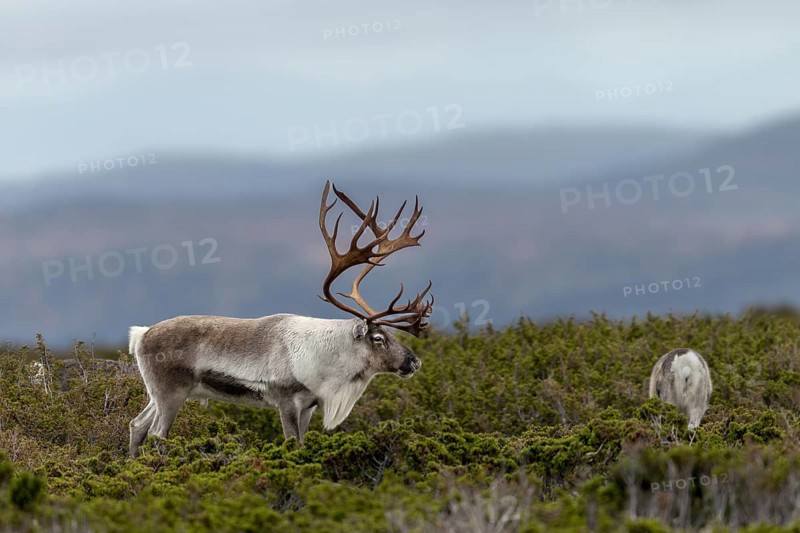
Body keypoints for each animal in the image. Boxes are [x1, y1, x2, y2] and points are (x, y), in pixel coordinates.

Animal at [127, 181, 433, 456]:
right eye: (379, 338)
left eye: (394, 335)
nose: (414, 362)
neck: (326, 359)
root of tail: (140, 335)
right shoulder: (287, 402)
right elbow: (292, 444)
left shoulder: (309, 407)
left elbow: (303, 443)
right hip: (171, 393)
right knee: (157, 434)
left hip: (158, 393)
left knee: (137, 425)